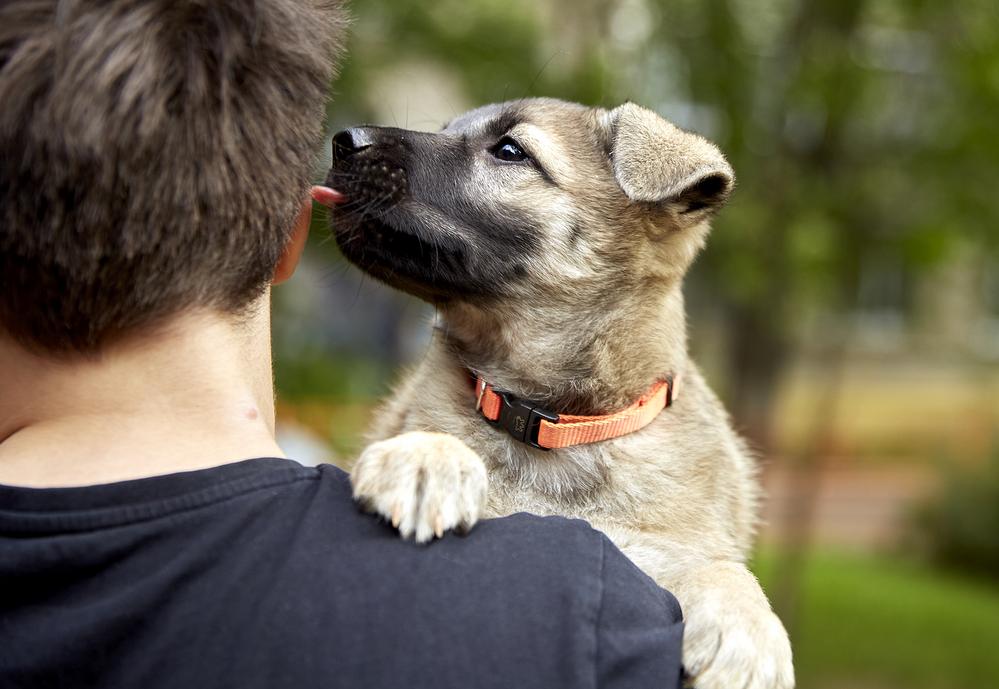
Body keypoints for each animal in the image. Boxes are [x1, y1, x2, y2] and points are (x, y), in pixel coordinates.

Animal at [328, 99, 796, 688]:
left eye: (510, 151)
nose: (343, 140)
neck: (554, 420)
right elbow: (438, 434)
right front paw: (426, 458)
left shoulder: (656, 546)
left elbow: (719, 566)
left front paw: (750, 631)